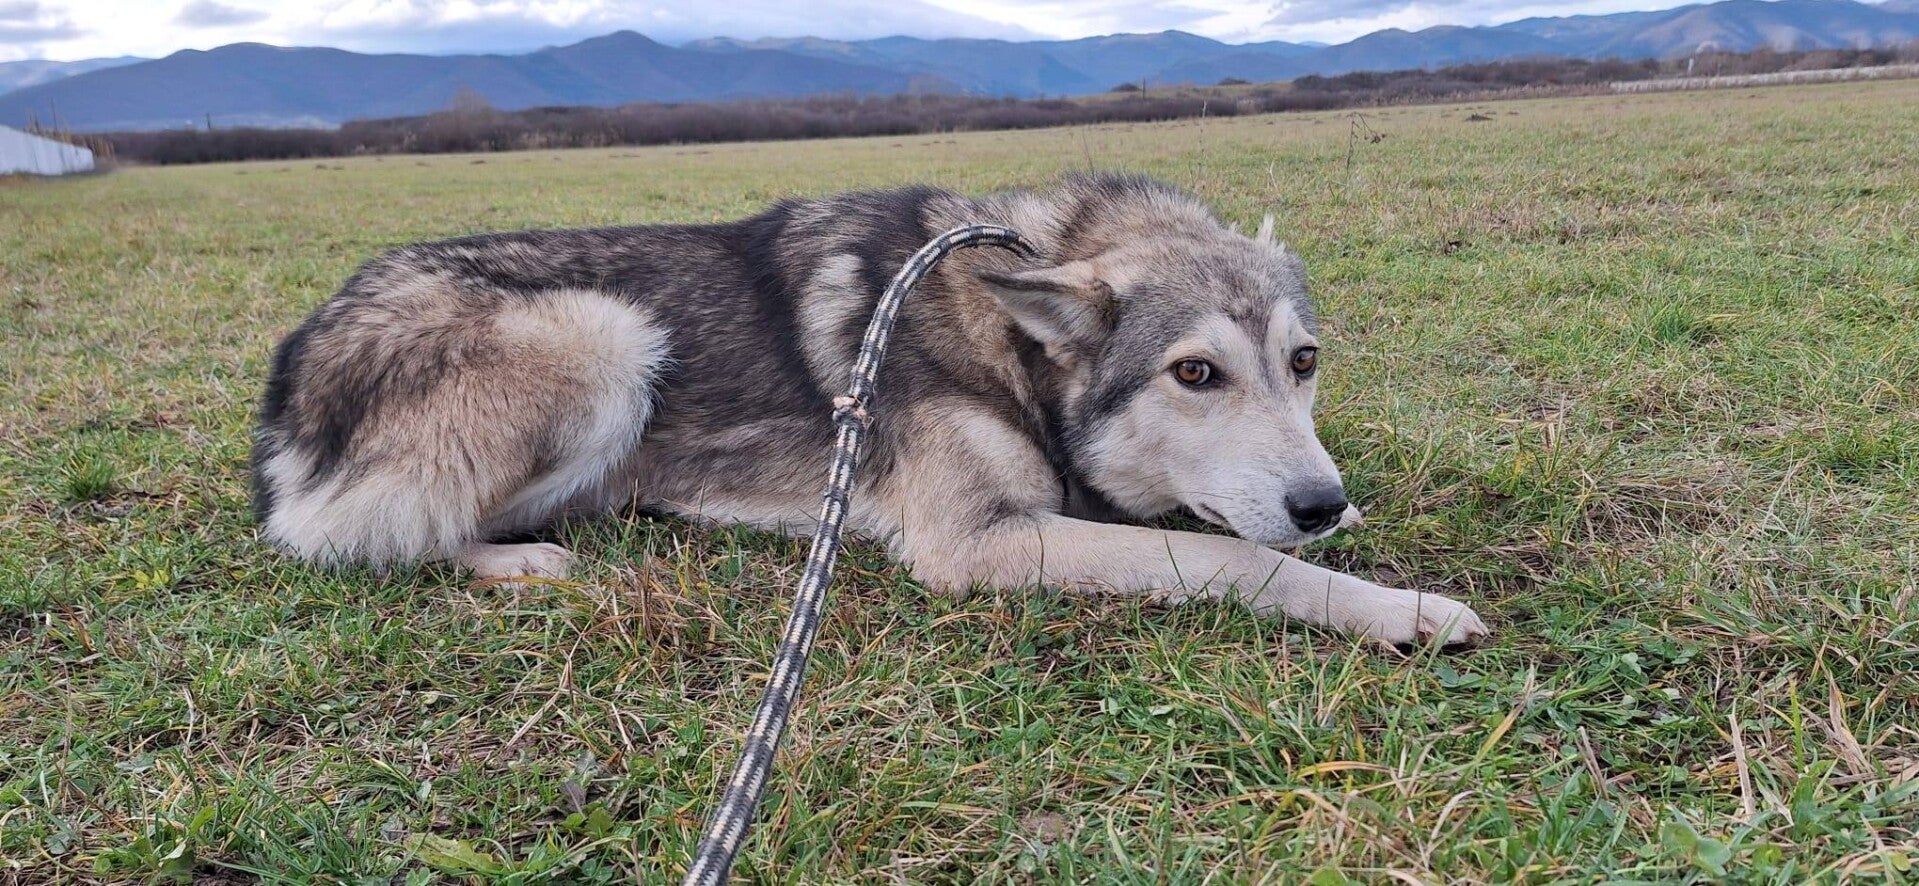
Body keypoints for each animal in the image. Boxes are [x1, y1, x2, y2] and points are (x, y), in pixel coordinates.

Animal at [252, 174, 1487, 646]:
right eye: (1195, 374)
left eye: (1303, 361)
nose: (1320, 501)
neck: (1010, 348)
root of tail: (297, 358)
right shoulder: (973, 543)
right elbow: (1240, 561)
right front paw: (1401, 608)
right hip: (602, 336)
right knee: (370, 532)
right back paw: (523, 559)